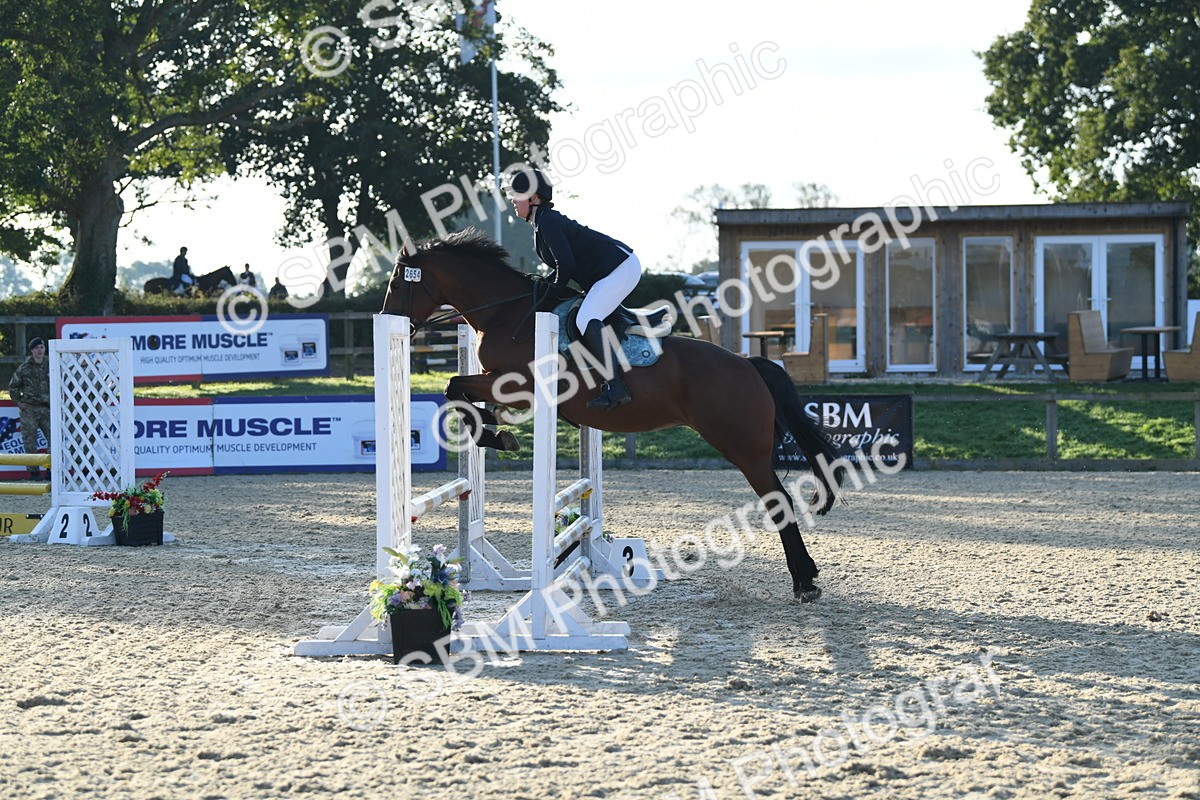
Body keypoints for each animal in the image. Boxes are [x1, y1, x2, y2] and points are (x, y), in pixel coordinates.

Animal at [383, 229, 844, 601]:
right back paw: (806, 578)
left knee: (778, 501)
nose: (393, 323)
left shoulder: (520, 386)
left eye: (399, 284)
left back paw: (804, 582)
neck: (506, 313)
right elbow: (459, 390)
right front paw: (494, 430)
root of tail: (749, 364)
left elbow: (454, 387)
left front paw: (491, 433)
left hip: (742, 448)